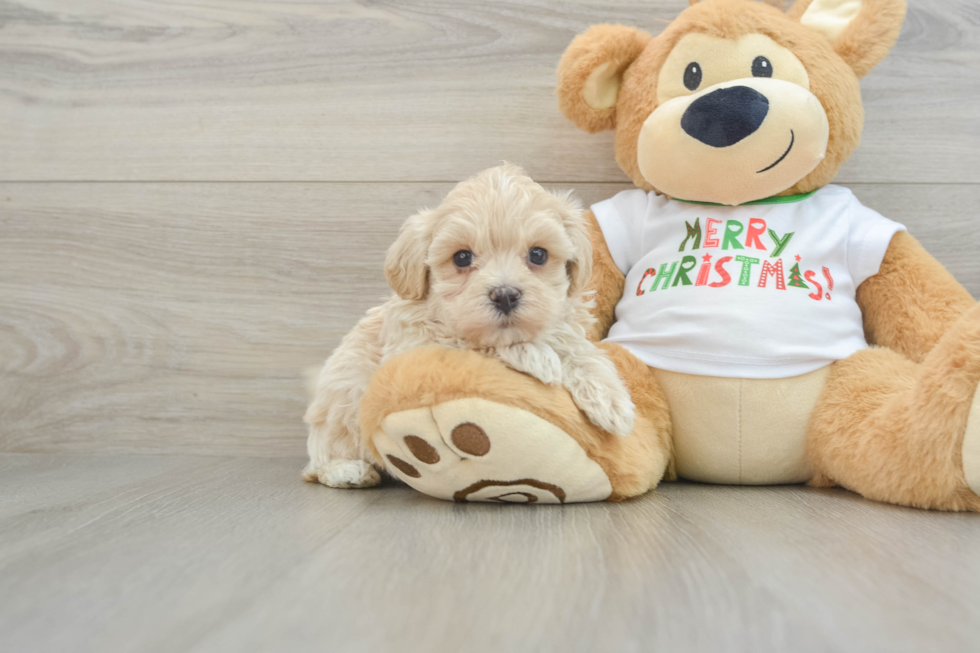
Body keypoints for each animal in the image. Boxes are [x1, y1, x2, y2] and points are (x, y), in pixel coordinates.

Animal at [302, 166, 636, 486]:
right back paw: (348, 471)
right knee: (321, 461)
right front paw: (538, 357)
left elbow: (580, 350)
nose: (505, 295)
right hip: (337, 414)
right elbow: (474, 343)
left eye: (538, 254)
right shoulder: (414, 349)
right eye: (462, 257)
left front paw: (612, 400)